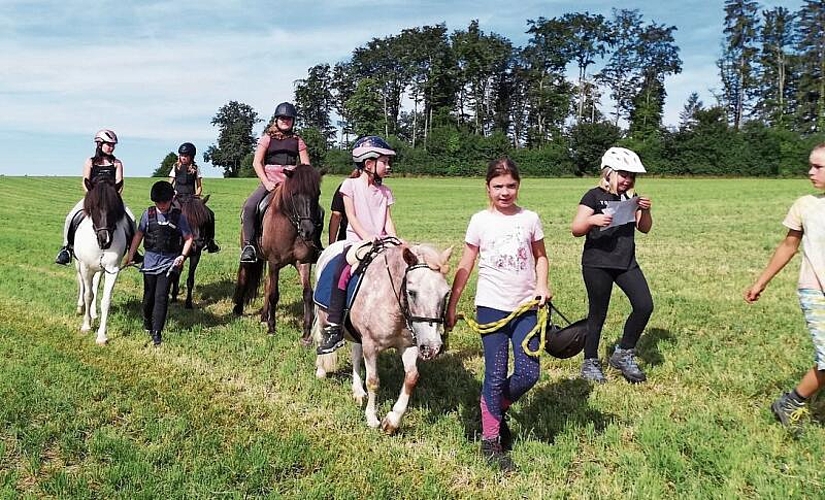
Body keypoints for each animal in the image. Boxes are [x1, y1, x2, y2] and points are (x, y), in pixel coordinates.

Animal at [73, 176, 131, 344]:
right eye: (93, 208)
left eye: (114, 208)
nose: (105, 239)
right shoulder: (86, 267)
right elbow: (88, 295)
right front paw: (86, 325)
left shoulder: (112, 270)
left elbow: (105, 300)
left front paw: (101, 336)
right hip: (79, 265)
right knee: (82, 283)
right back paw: (80, 308)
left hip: (99, 269)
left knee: (95, 284)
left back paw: (93, 313)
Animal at [233, 165, 324, 340]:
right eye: (294, 194)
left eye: (317, 194)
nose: (308, 231)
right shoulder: (274, 263)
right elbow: (274, 294)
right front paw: (272, 328)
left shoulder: (303, 262)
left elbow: (307, 294)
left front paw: (306, 330)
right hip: (249, 255)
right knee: (244, 276)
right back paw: (238, 309)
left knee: (267, 284)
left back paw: (264, 315)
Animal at [312, 238, 450, 434]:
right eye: (412, 292)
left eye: (446, 293)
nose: (432, 347)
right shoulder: (371, 345)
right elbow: (373, 381)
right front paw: (372, 418)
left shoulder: (408, 346)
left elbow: (411, 377)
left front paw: (392, 420)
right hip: (323, 318)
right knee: (321, 338)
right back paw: (321, 371)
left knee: (356, 355)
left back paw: (357, 391)